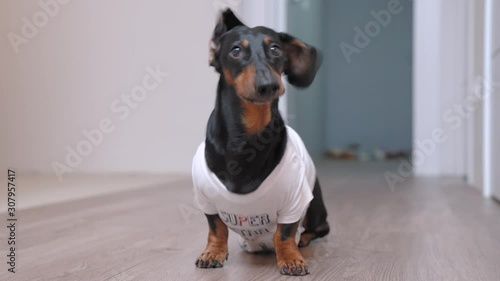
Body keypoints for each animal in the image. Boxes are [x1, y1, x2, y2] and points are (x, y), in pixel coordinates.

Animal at [191, 8, 328, 276]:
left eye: (275, 49)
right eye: (235, 50)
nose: (269, 86)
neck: (247, 138)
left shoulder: (295, 200)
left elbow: (284, 233)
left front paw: (290, 258)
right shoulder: (206, 198)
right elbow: (216, 228)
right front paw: (213, 253)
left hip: (315, 206)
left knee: (318, 229)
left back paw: (304, 240)